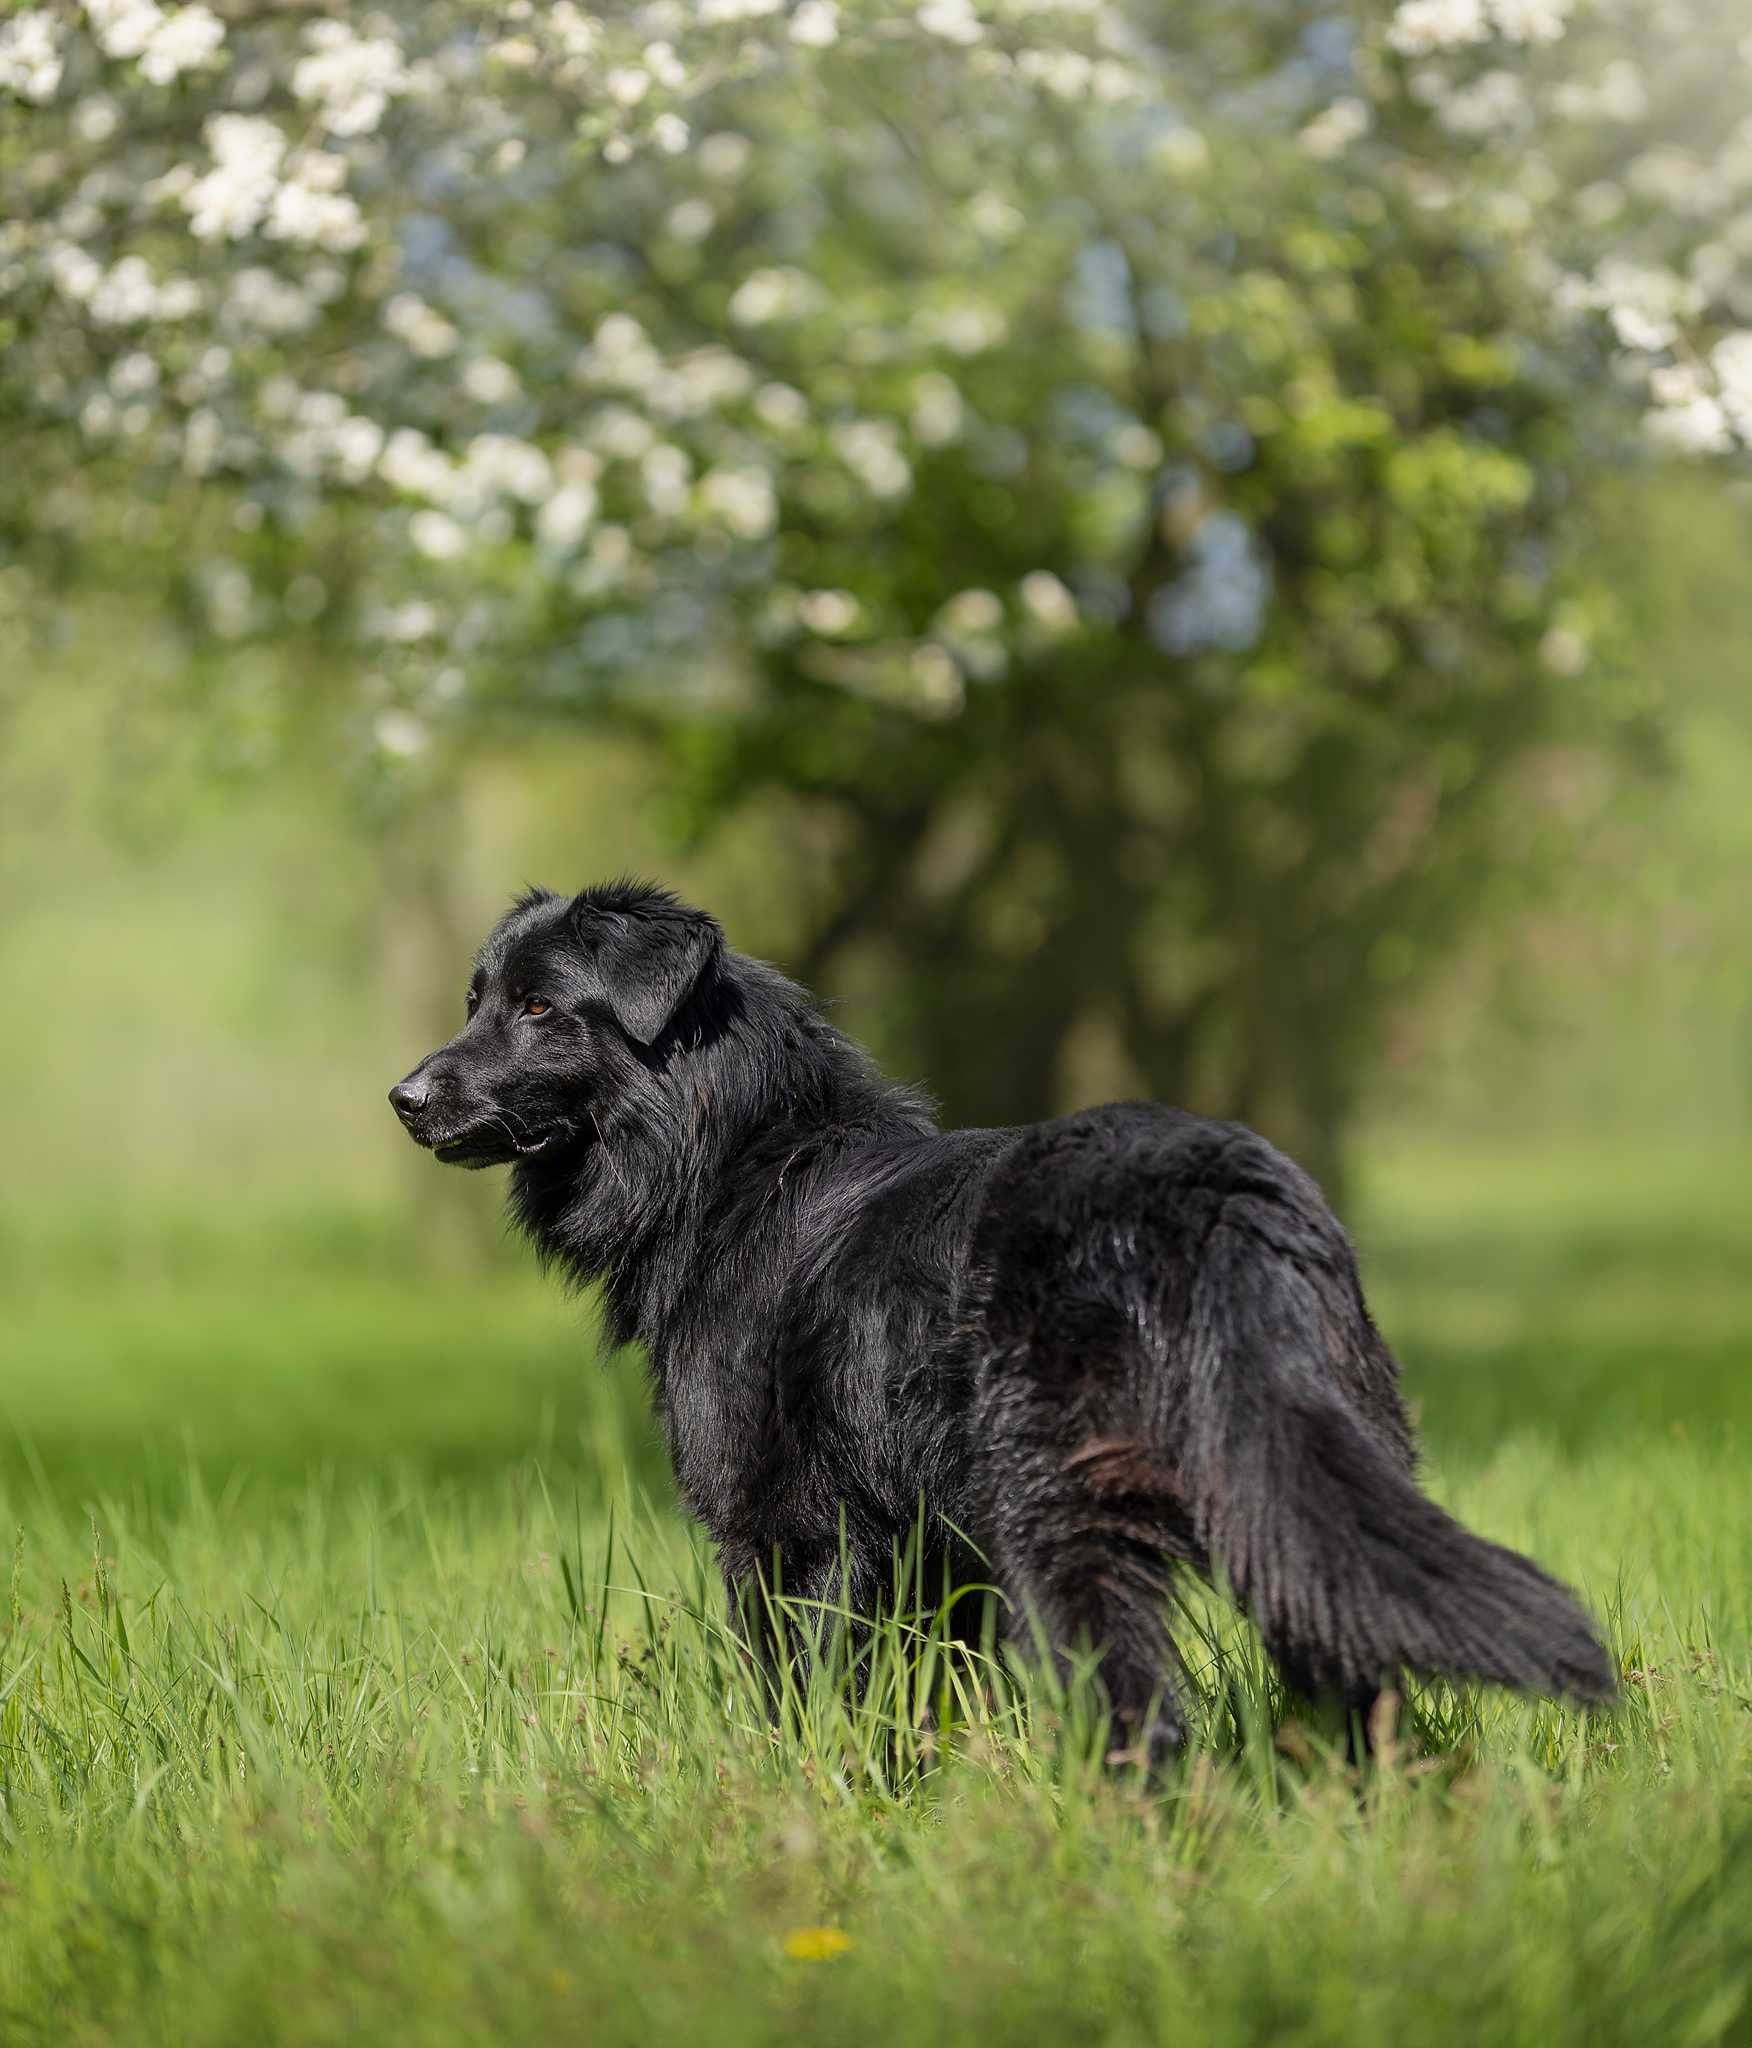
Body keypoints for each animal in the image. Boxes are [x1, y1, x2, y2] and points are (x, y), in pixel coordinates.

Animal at [393, 872, 1614, 1753]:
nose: (403, 1098)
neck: (738, 1160)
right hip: (1304, 1483)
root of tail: (1208, 1194)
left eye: (540, 1006)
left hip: (1065, 1527)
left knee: (1141, 1717)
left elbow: (804, 1699)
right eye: (475, 999)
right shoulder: (939, 1556)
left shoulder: (787, 1534)